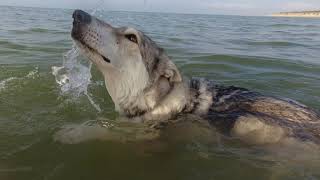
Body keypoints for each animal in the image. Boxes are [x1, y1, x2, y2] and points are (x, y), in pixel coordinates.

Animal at [71, 9, 320, 145]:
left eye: (131, 37)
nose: (77, 15)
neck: (157, 102)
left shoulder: (145, 133)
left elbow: (104, 130)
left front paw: (72, 132)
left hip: (247, 123)